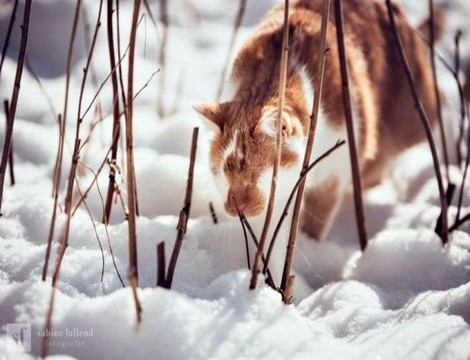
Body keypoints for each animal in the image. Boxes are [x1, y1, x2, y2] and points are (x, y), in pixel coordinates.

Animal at [195, 0, 440, 245]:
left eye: (257, 172)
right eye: (222, 172)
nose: (234, 208)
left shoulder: (337, 168)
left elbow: (317, 217)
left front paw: (309, 243)